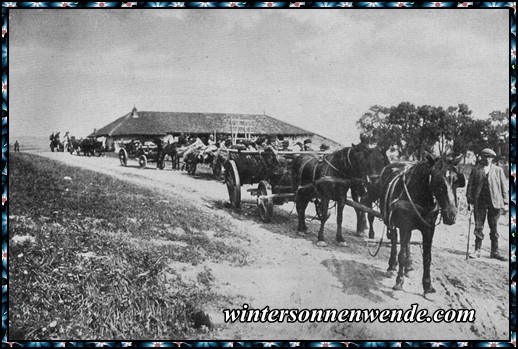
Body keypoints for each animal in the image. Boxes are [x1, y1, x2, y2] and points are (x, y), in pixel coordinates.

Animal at [380, 152, 470, 294]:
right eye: (437, 180)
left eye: (456, 181)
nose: (451, 215)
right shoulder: (404, 226)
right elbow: (402, 254)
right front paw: (399, 281)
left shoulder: (429, 229)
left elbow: (427, 257)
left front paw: (427, 285)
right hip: (390, 222)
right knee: (394, 240)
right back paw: (391, 266)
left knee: (407, 243)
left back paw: (408, 267)